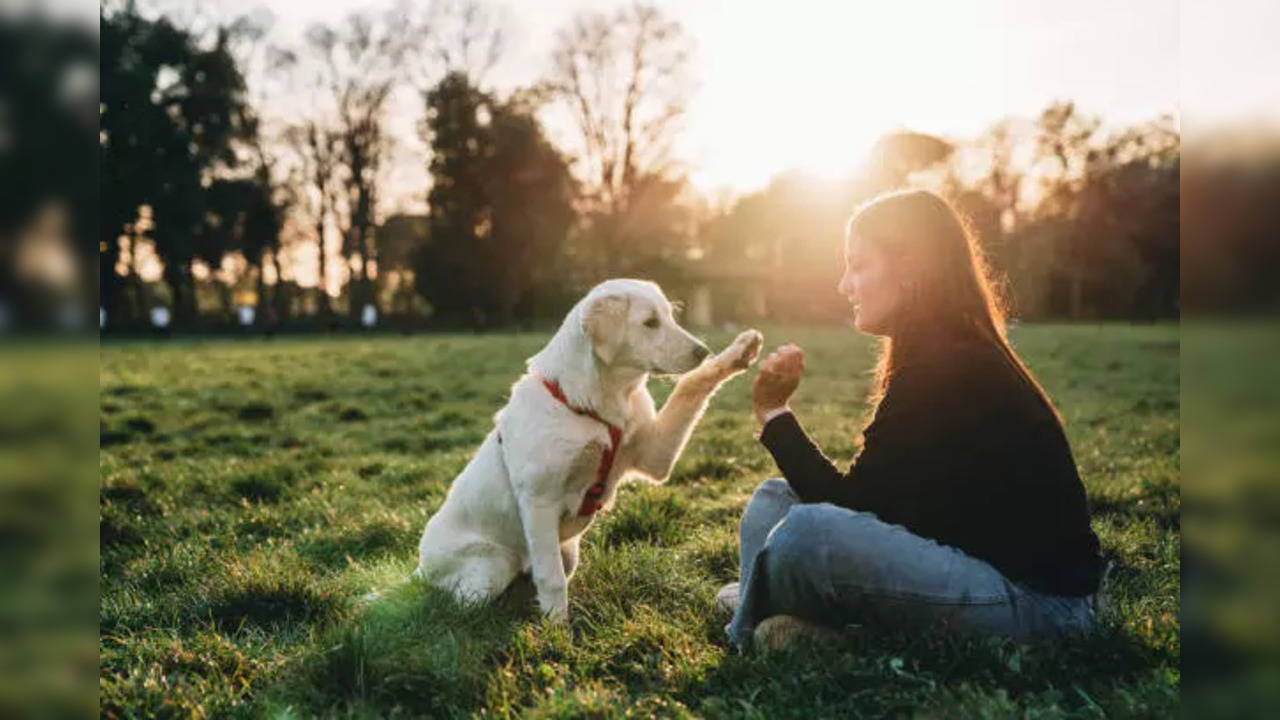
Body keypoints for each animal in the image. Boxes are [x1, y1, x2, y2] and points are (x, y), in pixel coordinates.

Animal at [414, 278, 762, 620]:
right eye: (650, 322)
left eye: (670, 316)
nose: (702, 350)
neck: (598, 404)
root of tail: (419, 567)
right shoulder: (539, 500)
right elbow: (551, 578)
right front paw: (557, 629)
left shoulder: (654, 455)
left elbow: (689, 386)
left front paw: (736, 353)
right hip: (490, 568)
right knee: (459, 604)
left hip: (567, 552)